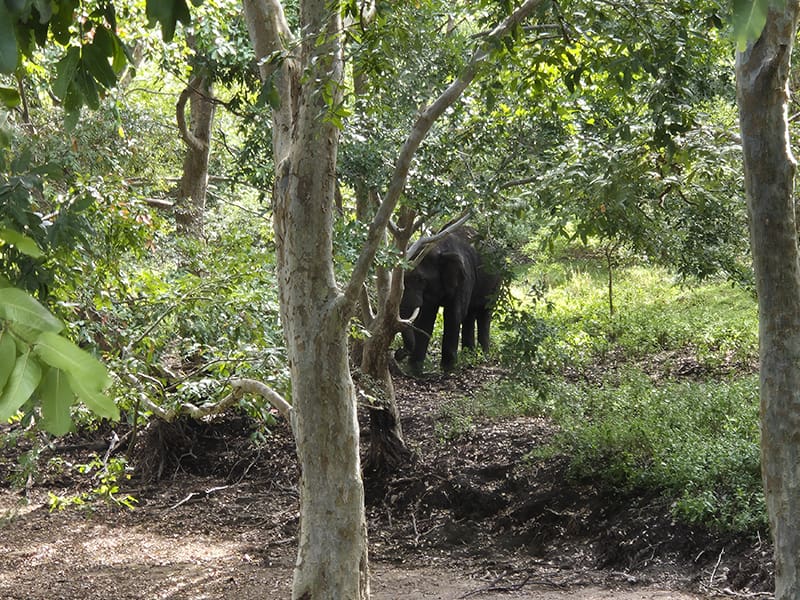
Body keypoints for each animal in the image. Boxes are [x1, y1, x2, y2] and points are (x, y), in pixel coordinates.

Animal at [397, 229, 501, 375]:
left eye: (420, 279)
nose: (398, 353)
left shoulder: (465, 276)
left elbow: (453, 315)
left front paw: (448, 369)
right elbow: (426, 319)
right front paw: (414, 370)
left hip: (496, 283)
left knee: (484, 312)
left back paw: (483, 356)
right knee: (469, 314)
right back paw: (469, 355)